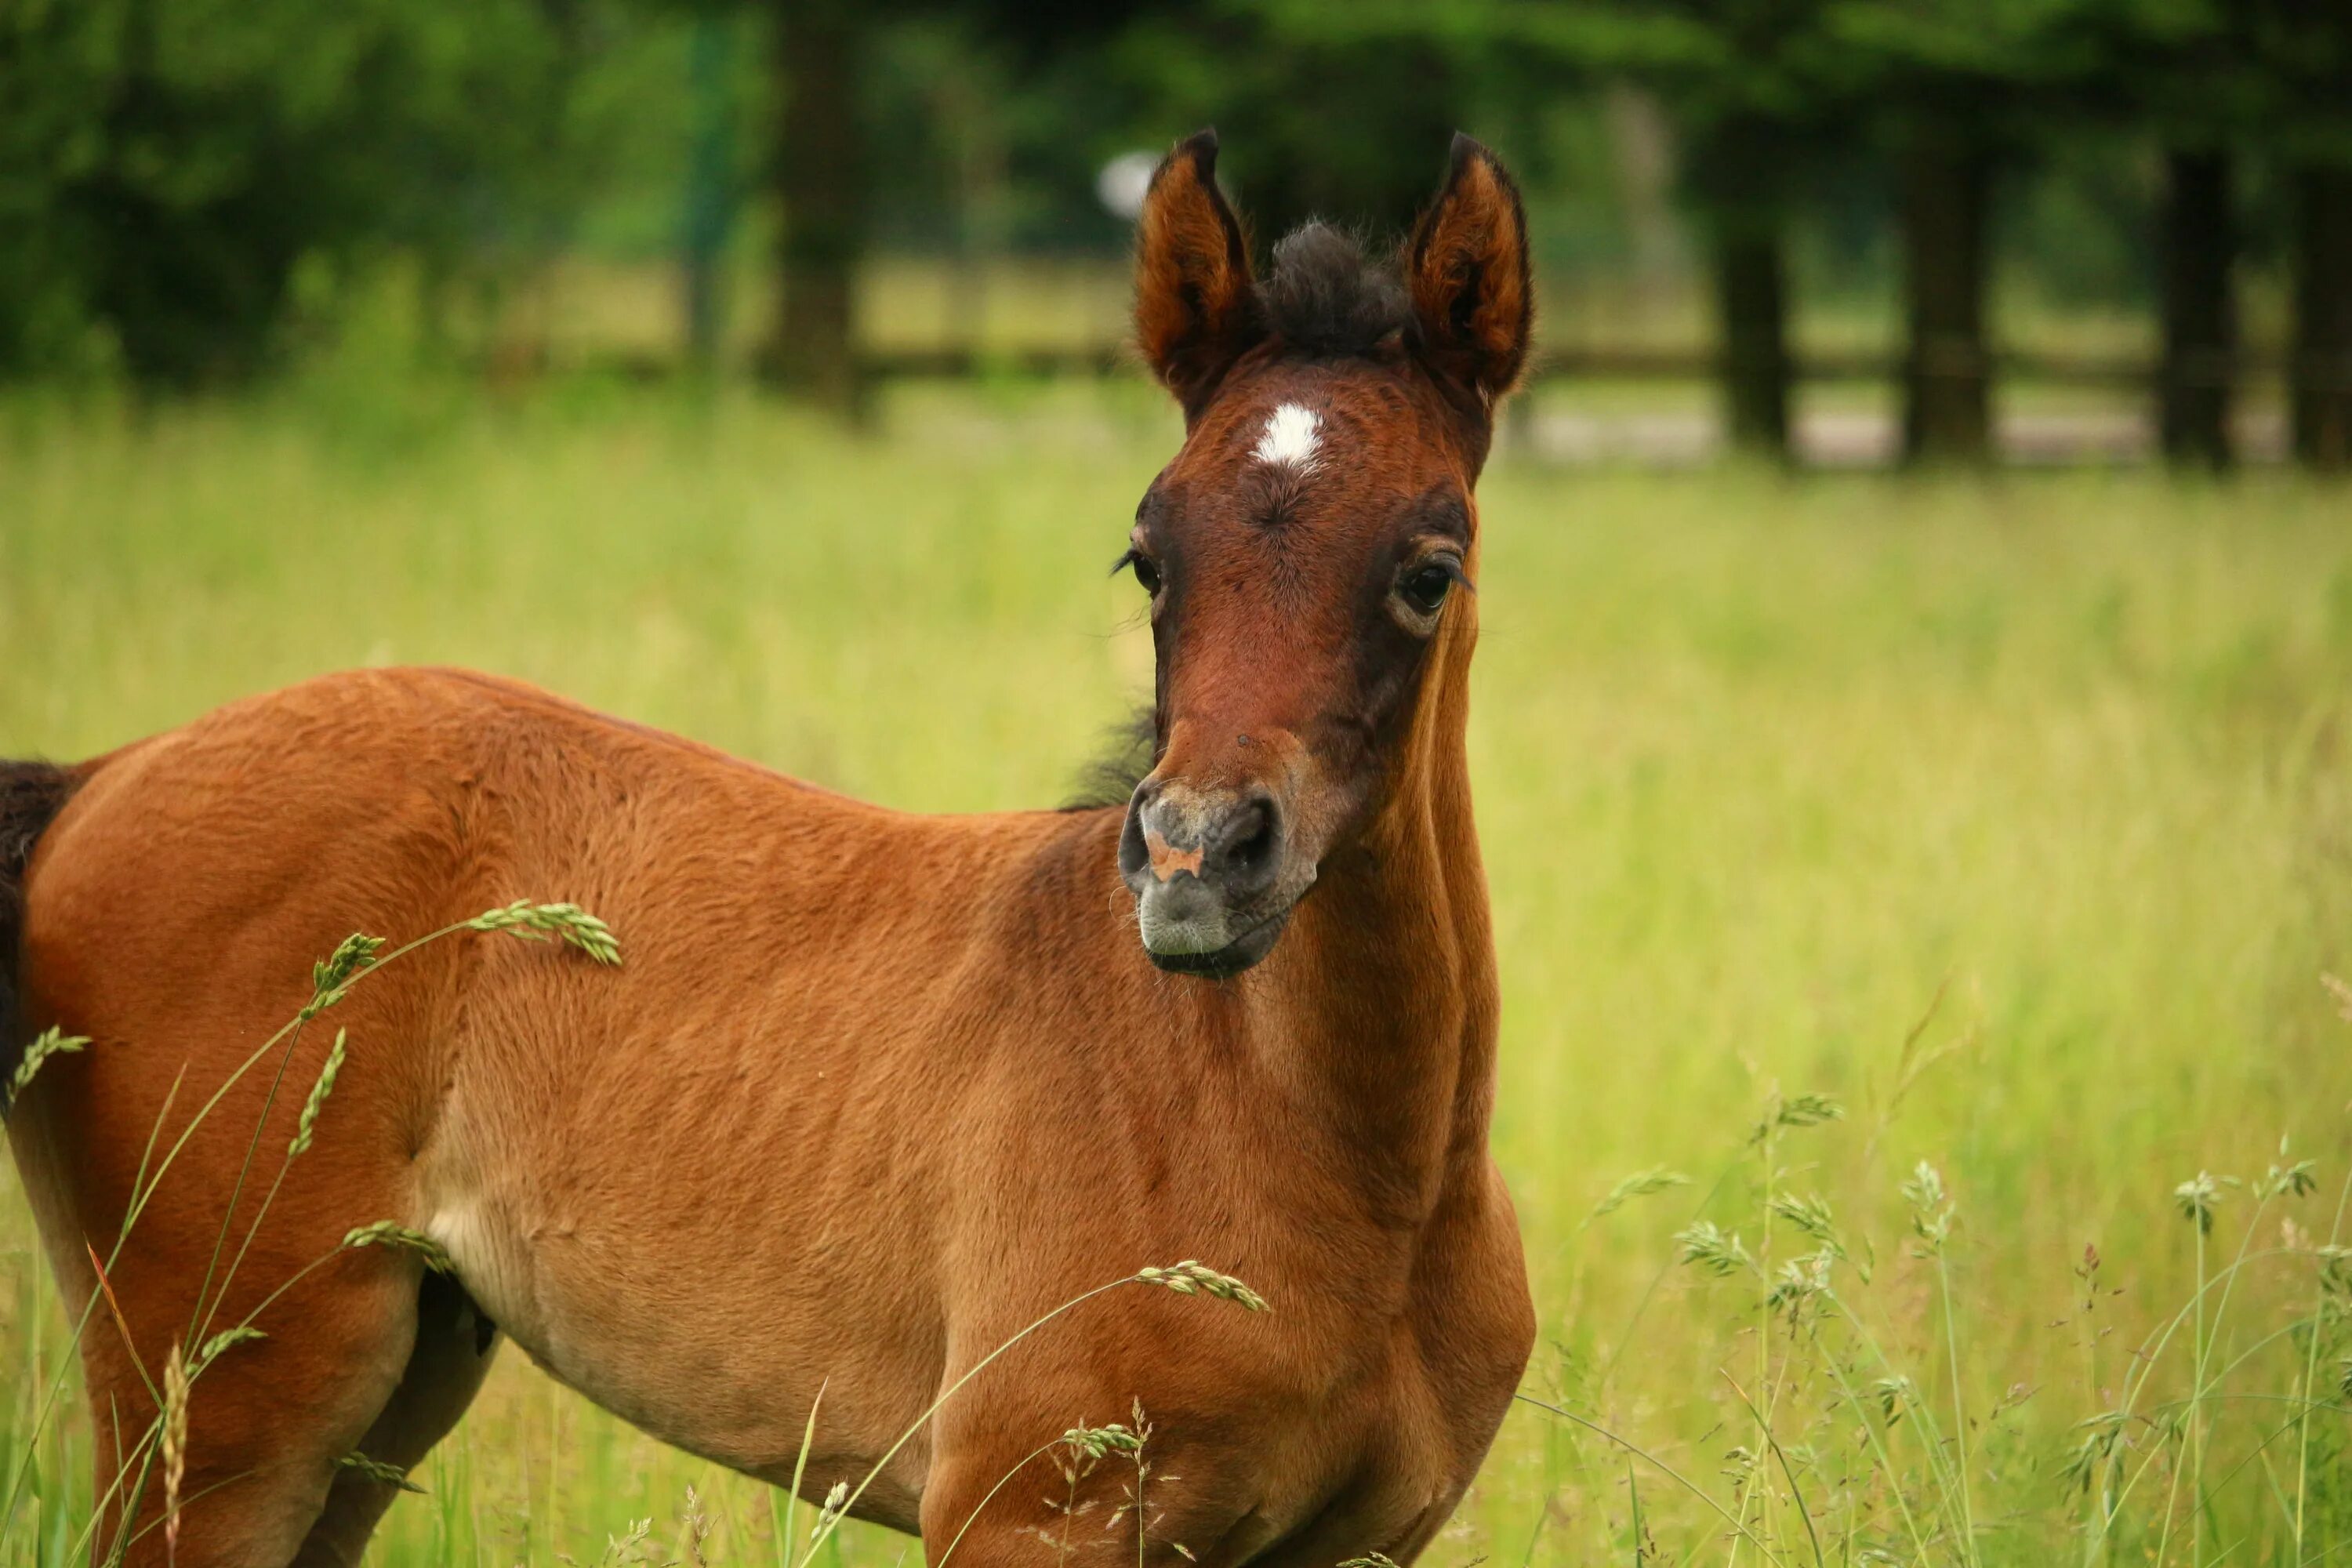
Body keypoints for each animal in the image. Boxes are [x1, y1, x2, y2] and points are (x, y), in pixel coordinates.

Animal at [0, 135, 1543, 1568]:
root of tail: (99, 779)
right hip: (221, 1381)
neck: (1341, 1169)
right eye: (1149, 557)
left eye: (1430, 570)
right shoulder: (1023, 1514)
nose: (1194, 863)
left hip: (393, 1371)